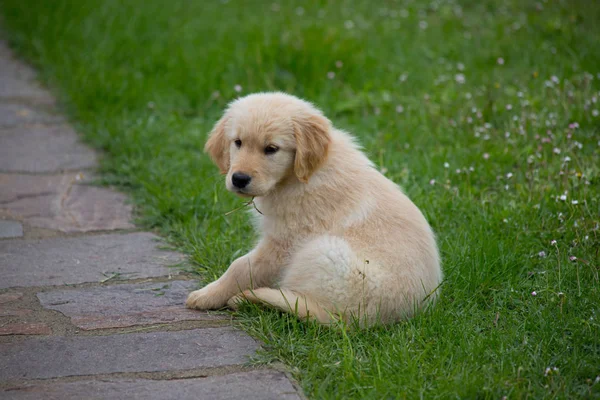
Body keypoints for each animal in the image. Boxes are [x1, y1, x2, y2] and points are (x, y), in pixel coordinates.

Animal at [185, 92, 442, 326]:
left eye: (271, 149)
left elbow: (240, 266)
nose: (239, 179)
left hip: (322, 251)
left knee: (313, 310)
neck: (300, 176)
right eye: (237, 142)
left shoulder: (283, 242)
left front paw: (207, 295)